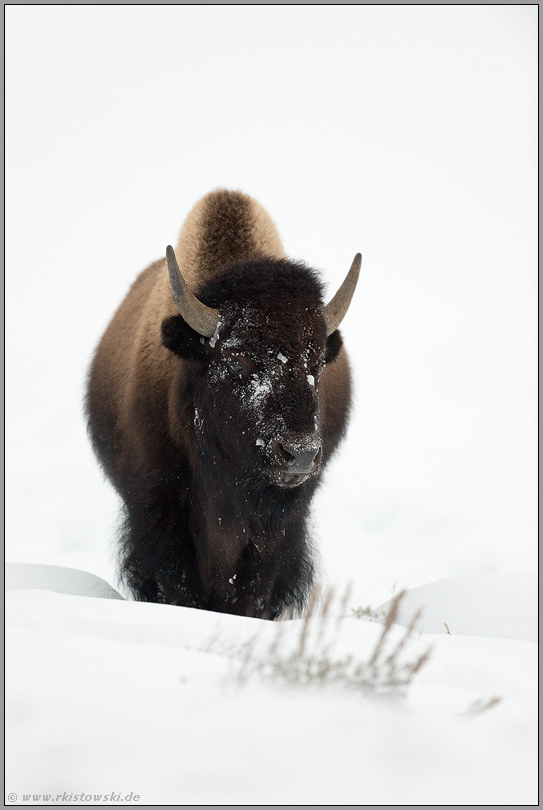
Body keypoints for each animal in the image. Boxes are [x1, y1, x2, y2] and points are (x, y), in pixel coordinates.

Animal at [86, 191, 362, 620]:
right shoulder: (158, 510)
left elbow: (254, 589)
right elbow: (178, 584)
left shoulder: (279, 528)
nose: (299, 454)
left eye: (316, 364)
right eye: (236, 362)